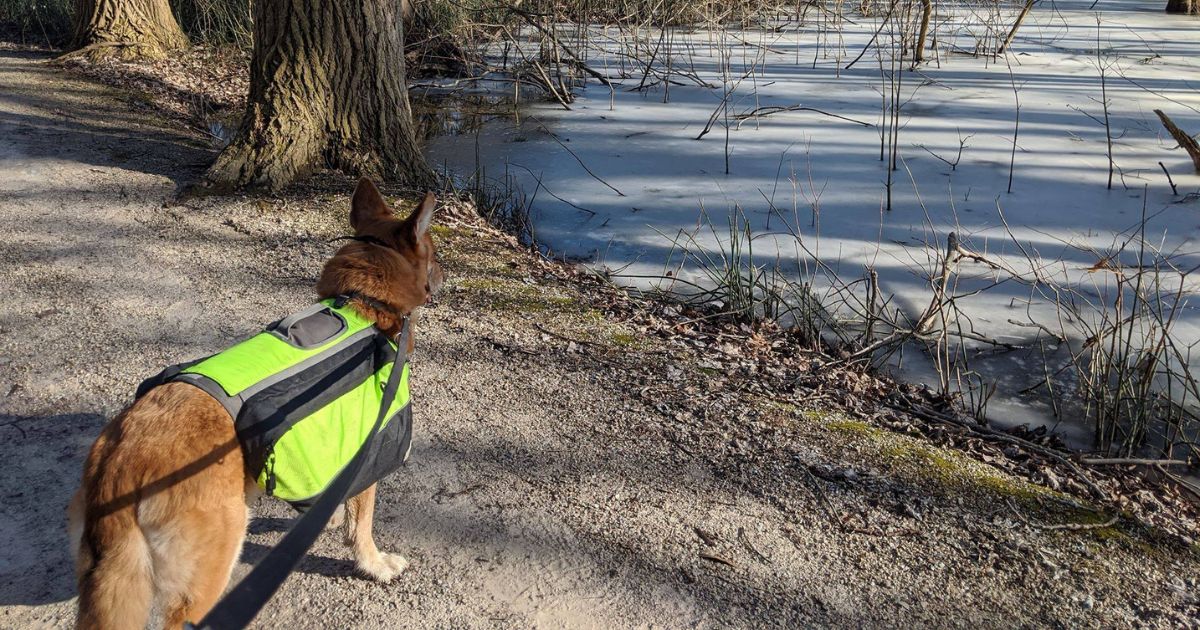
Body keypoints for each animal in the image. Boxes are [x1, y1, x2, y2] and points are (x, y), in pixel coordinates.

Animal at [66, 178, 441, 628]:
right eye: (434, 250)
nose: (444, 276)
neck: (362, 304)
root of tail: (120, 466)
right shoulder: (366, 456)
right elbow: (361, 524)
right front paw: (373, 563)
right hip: (208, 571)